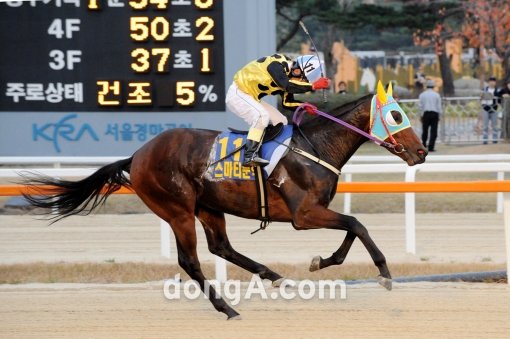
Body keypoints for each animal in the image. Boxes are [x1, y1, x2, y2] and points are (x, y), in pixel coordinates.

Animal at [22, 86, 426, 320]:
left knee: (222, 247)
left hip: (209, 207)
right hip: (177, 209)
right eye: (395, 115)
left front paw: (321, 262)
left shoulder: (313, 212)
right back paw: (227, 308)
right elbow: (357, 224)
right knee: (191, 260)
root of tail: (137, 156)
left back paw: (274, 277)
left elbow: (351, 229)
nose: (422, 151)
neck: (315, 148)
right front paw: (384, 273)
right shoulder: (304, 214)